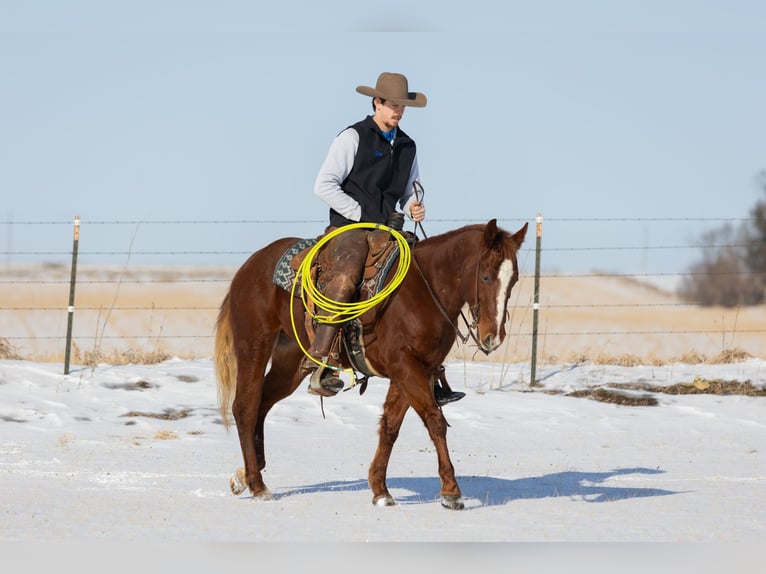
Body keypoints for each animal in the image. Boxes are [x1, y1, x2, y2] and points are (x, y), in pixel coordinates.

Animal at [214, 218, 528, 510]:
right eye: (485, 277)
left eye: (513, 280)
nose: (493, 337)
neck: (423, 291)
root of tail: (249, 266)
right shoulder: (405, 366)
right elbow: (435, 421)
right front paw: (451, 492)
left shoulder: (414, 370)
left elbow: (390, 426)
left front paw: (380, 490)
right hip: (254, 346)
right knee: (245, 407)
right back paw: (257, 486)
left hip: (289, 362)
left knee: (262, 404)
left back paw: (244, 475)